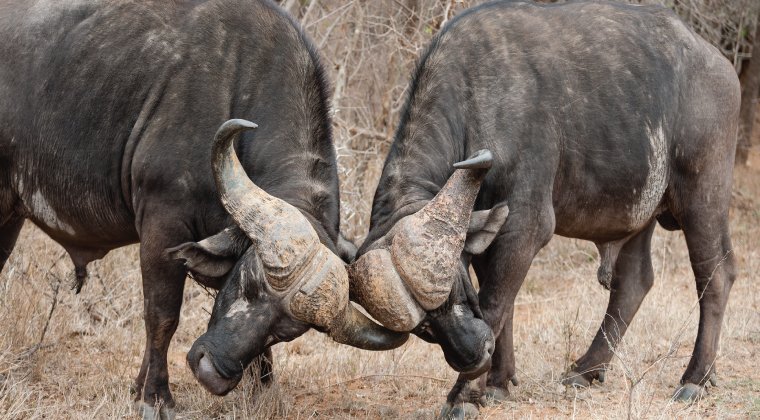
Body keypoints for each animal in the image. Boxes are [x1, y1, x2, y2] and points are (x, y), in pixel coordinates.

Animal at [0, 1, 406, 418]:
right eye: (247, 284)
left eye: (284, 331)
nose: (213, 373)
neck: (240, 83)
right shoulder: (163, 226)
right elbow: (162, 316)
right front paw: (155, 396)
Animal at [350, 0, 744, 416]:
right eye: (423, 327)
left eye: (457, 292)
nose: (473, 357)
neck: (476, 97)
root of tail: (719, 64)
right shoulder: (487, 234)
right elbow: (503, 307)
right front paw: (497, 382)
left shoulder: (525, 226)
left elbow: (495, 303)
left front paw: (465, 396)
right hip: (639, 214)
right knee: (634, 281)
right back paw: (587, 368)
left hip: (703, 197)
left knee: (716, 275)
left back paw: (695, 378)